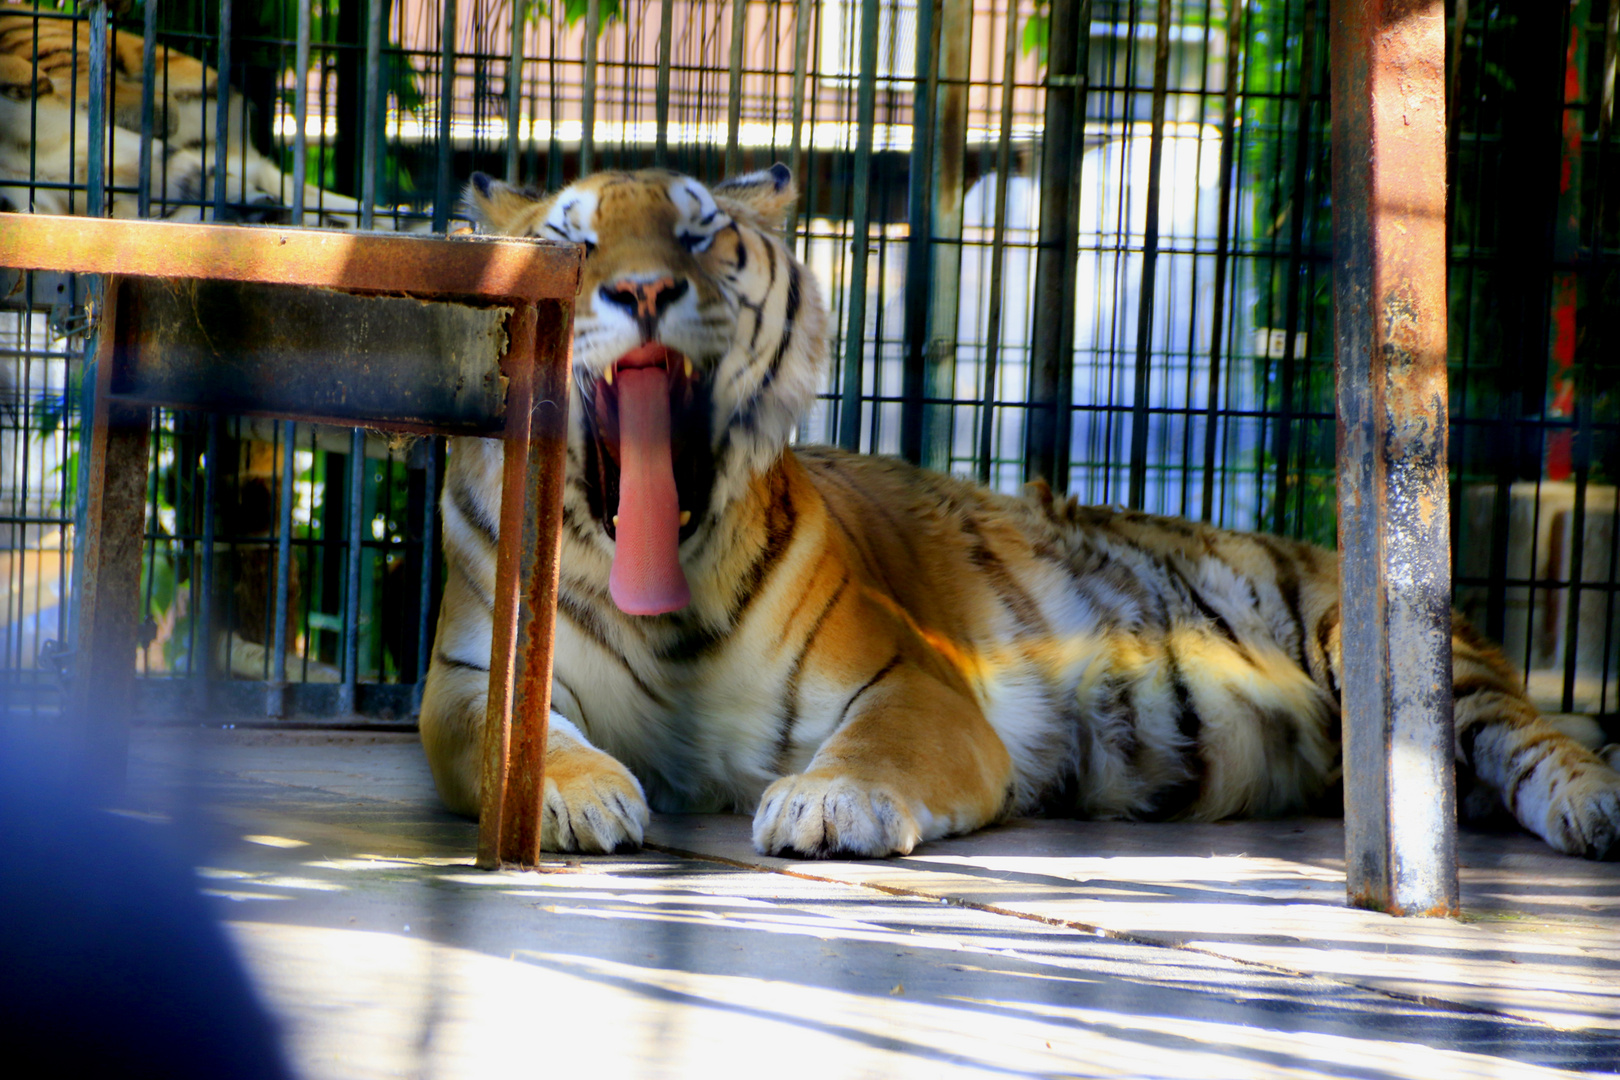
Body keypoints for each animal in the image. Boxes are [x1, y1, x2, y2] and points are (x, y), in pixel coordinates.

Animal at [421, 165, 1620, 867]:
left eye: (701, 236)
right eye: (576, 242)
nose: (645, 292)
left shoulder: (912, 681)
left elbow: (876, 750)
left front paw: (828, 805)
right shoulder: (471, 678)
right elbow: (509, 737)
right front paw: (573, 795)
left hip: (1392, 648)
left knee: (1530, 737)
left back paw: (1596, 808)